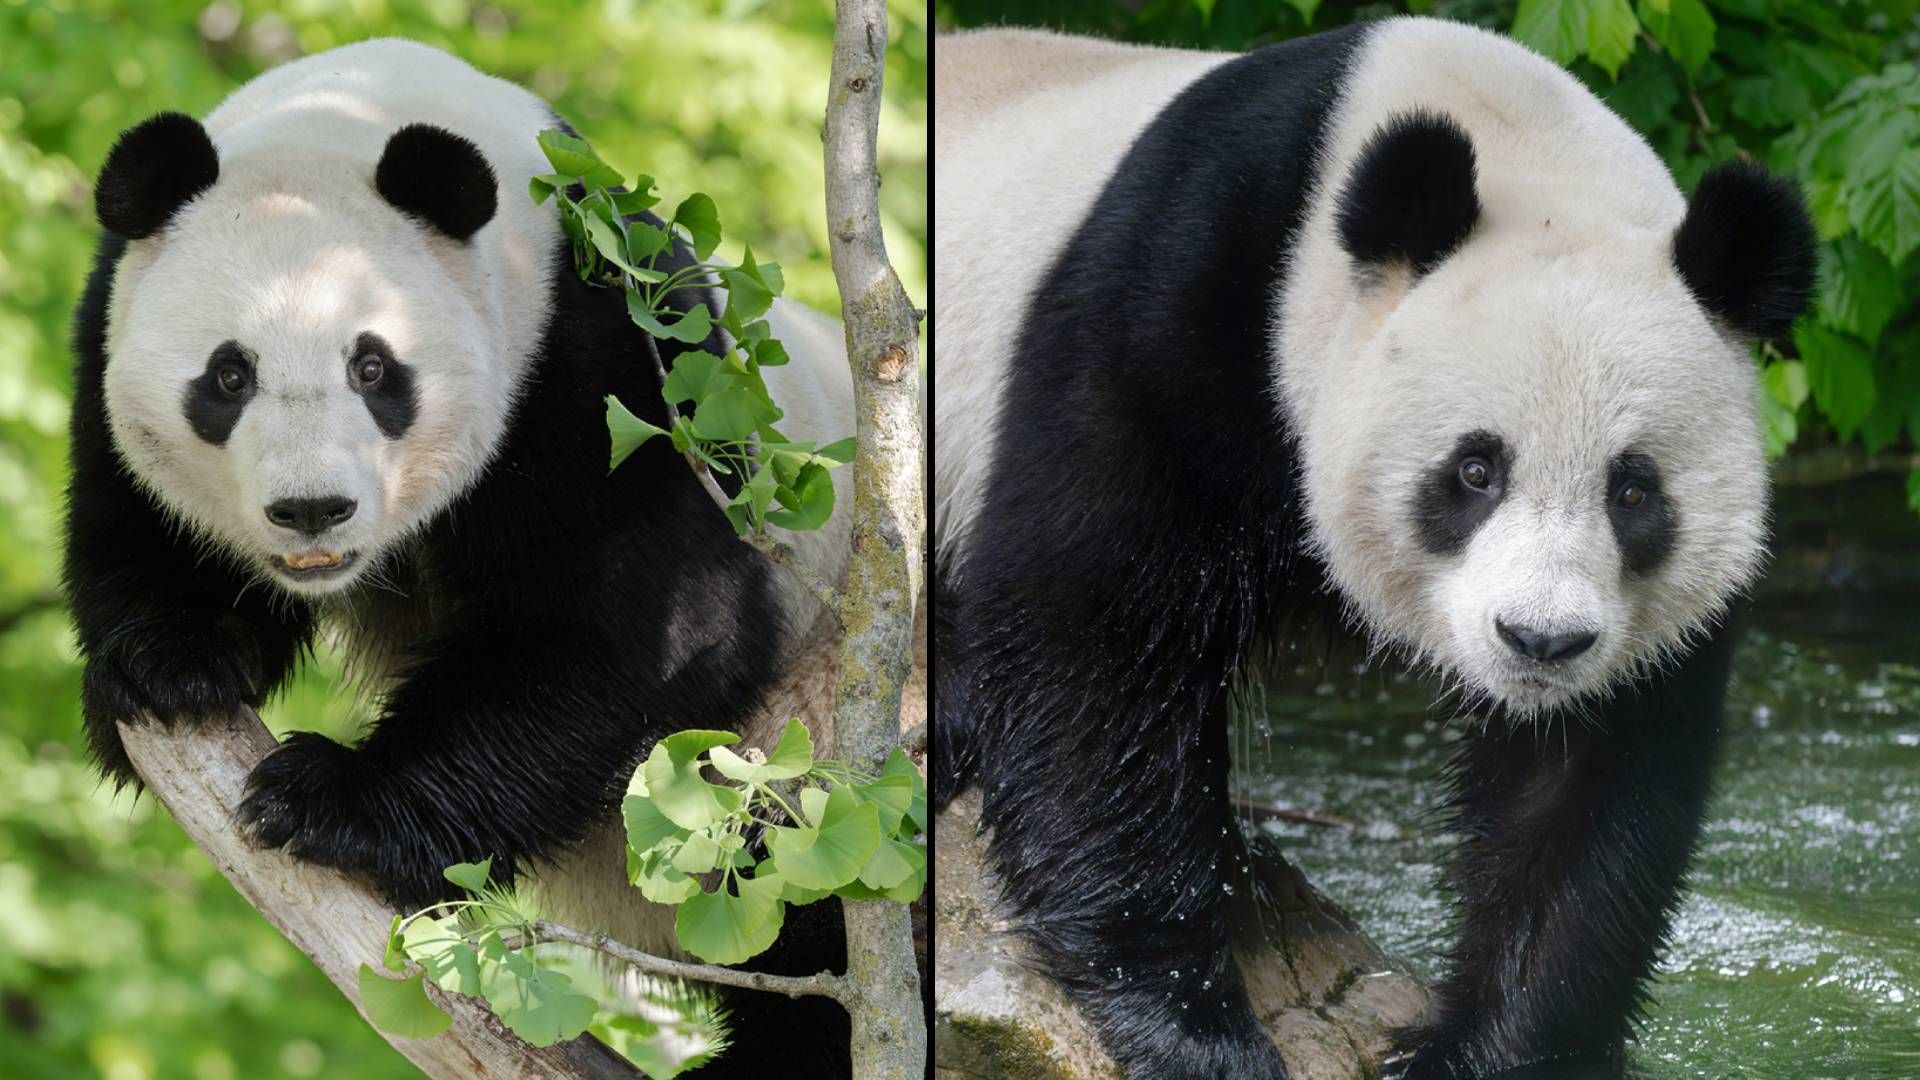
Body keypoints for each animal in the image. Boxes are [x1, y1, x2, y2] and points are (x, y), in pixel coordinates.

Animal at [67, 39, 857, 1076]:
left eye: (373, 368)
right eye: (229, 375)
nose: (311, 509)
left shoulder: (612, 357)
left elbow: (633, 628)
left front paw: (327, 801)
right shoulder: (108, 316)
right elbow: (133, 514)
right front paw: (174, 661)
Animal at [933, 17, 1813, 1080]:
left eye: (1634, 489)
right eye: (1475, 470)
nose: (1541, 642)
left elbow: (1590, 783)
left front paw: (1485, 1051)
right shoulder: (1181, 301)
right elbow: (1094, 629)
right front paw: (1194, 1027)